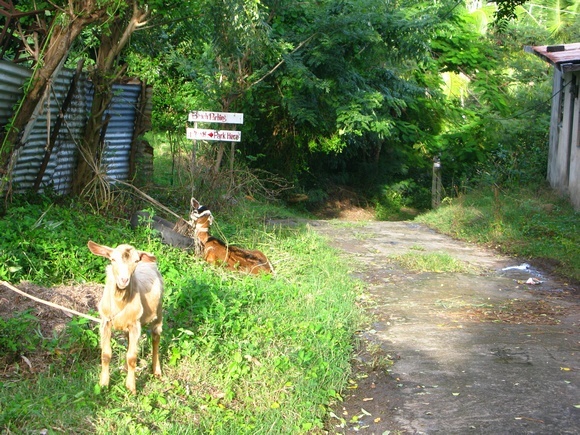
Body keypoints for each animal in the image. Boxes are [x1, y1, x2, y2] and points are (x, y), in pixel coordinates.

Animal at [87, 242, 163, 396]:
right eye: (112, 259)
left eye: (136, 261)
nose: (124, 280)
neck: (120, 300)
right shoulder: (106, 322)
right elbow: (106, 354)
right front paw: (103, 384)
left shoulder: (135, 325)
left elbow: (132, 357)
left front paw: (131, 387)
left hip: (158, 312)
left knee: (156, 338)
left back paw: (156, 370)